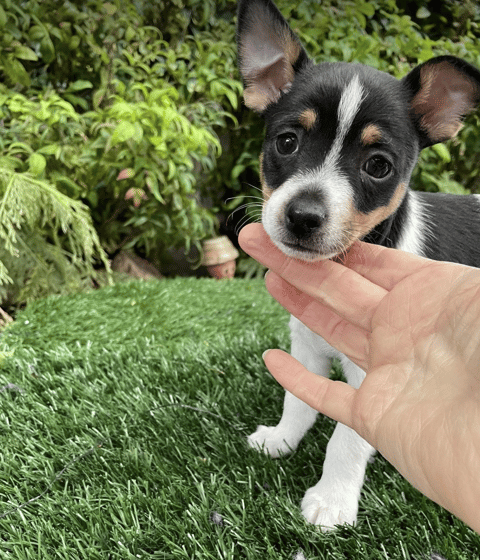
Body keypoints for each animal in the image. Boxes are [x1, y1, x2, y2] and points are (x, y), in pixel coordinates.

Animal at [238, 0, 480, 532]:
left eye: (378, 166)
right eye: (287, 142)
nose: (303, 216)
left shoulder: (373, 377)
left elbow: (345, 439)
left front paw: (332, 501)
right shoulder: (306, 343)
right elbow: (298, 399)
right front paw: (282, 439)